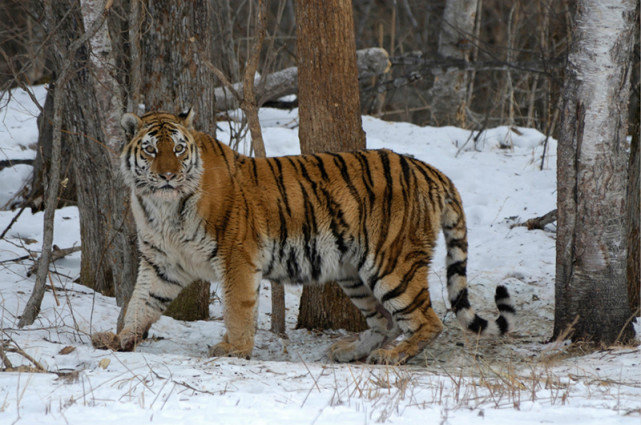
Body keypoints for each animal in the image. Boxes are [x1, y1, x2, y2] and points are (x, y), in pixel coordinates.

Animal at [90, 109, 512, 364]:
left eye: (178, 149)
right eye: (150, 150)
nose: (168, 175)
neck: (162, 208)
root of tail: (430, 170)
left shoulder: (236, 256)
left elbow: (238, 308)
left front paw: (234, 349)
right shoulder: (160, 263)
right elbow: (139, 304)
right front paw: (120, 339)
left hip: (393, 264)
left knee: (427, 321)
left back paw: (392, 356)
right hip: (352, 272)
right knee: (384, 322)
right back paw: (348, 351)